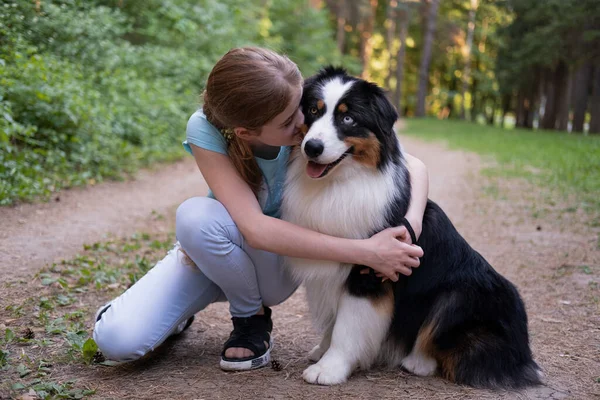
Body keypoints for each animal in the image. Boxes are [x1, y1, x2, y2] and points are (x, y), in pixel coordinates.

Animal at [278, 67, 540, 390]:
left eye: (348, 118)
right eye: (313, 111)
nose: (312, 148)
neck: (339, 184)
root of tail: (523, 355)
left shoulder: (369, 272)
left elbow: (347, 326)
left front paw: (330, 368)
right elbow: (333, 321)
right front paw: (323, 350)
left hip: (462, 294)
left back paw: (417, 361)